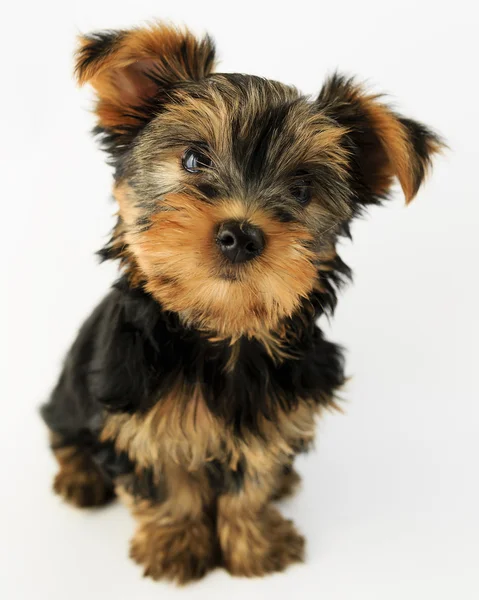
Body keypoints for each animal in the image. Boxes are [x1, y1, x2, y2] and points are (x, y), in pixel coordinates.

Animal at [42, 22, 446, 580]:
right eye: (193, 159)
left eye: (301, 190)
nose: (241, 235)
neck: (221, 329)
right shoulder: (133, 412)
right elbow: (166, 484)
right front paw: (177, 547)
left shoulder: (278, 408)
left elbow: (251, 480)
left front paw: (255, 543)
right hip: (69, 389)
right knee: (63, 431)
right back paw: (79, 477)